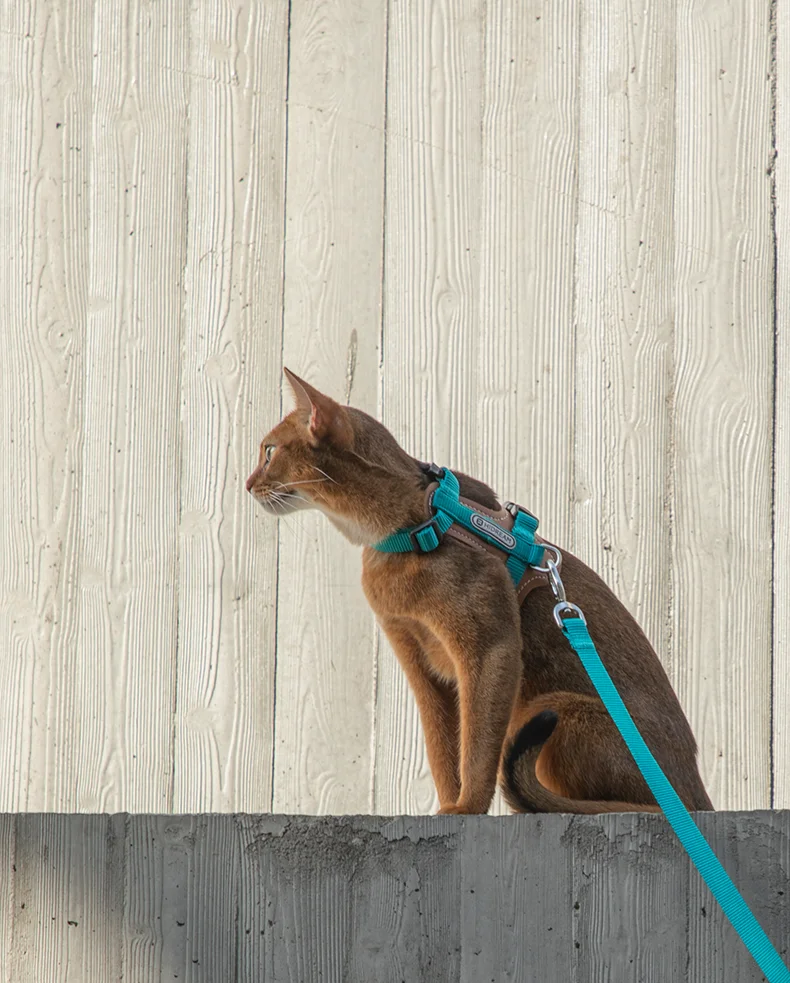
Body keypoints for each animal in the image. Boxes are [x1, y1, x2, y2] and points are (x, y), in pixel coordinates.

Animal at [249, 368, 716, 816]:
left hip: (555, 709)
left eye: (269, 451)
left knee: (648, 806)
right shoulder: (421, 662)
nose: (248, 484)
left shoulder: (490, 650)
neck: (406, 526)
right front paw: (448, 805)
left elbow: (476, 748)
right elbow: (443, 750)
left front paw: (467, 808)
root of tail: (696, 789)